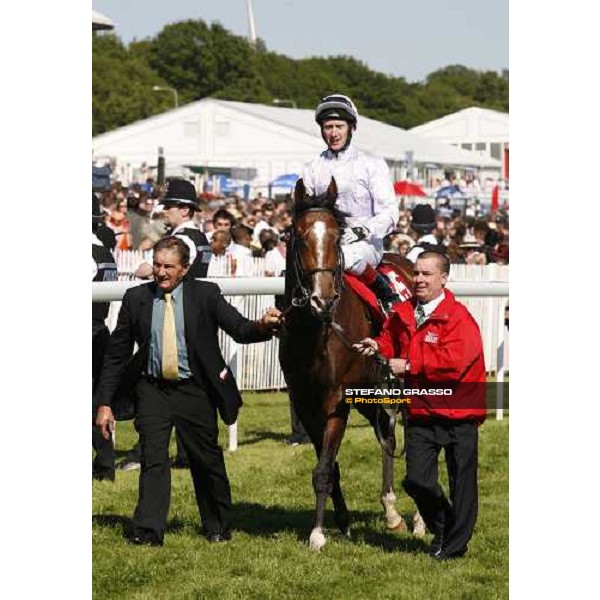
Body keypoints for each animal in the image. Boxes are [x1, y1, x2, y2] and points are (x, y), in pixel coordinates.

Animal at [276, 177, 422, 548]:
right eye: (300, 236)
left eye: (337, 235)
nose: (323, 299)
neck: (316, 332)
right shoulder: (307, 403)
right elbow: (330, 466)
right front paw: (341, 523)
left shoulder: (336, 402)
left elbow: (324, 468)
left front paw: (316, 534)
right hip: (369, 392)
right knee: (388, 437)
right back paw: (392, 513)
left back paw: (419, 519)